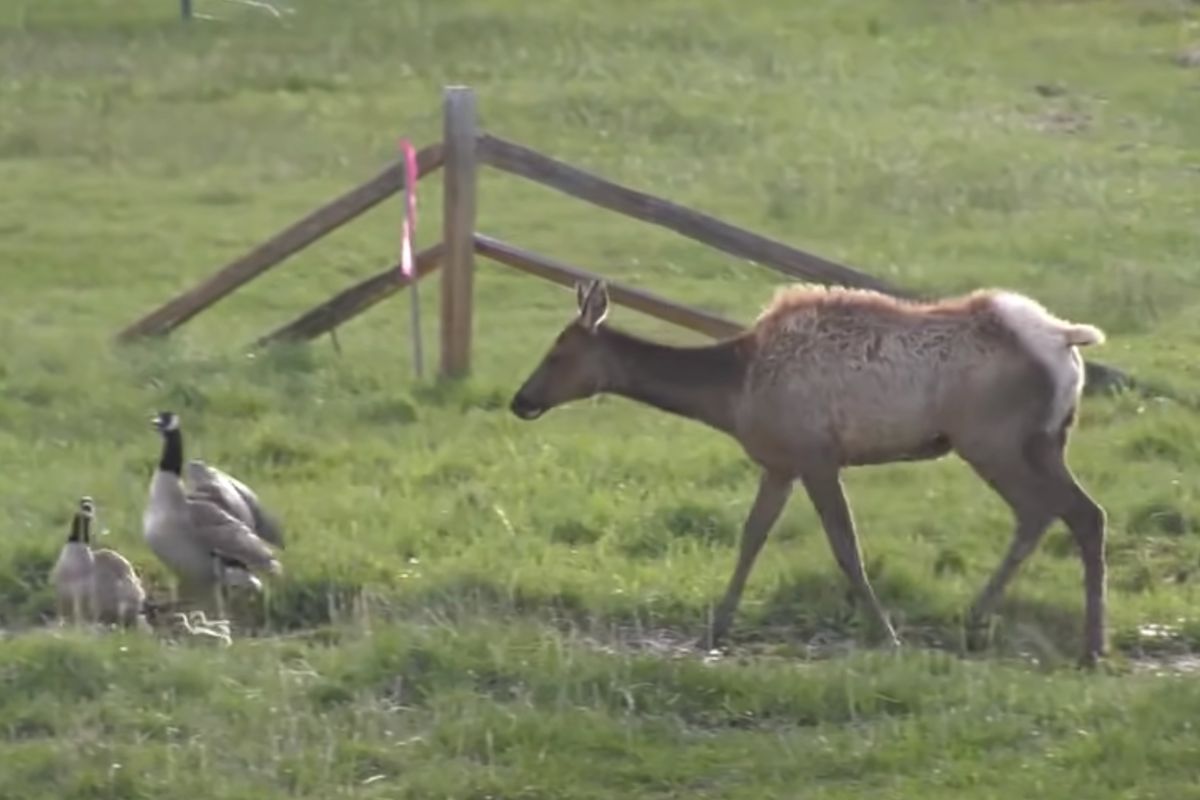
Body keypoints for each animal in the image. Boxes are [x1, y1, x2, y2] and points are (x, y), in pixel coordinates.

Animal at [506, 278, 1104, 666]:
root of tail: (1065, 341)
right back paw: (1056, 634)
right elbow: (751, 537)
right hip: (1047, 440)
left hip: (992, 439)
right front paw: (714, 629)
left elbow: (845, 546)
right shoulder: (780, 462)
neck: (731, 395)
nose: (520, 400)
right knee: (1082, 513)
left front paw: (887, 634)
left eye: (557, 353)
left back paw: (1038, 631)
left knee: (1048, 511)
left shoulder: (816, 455)